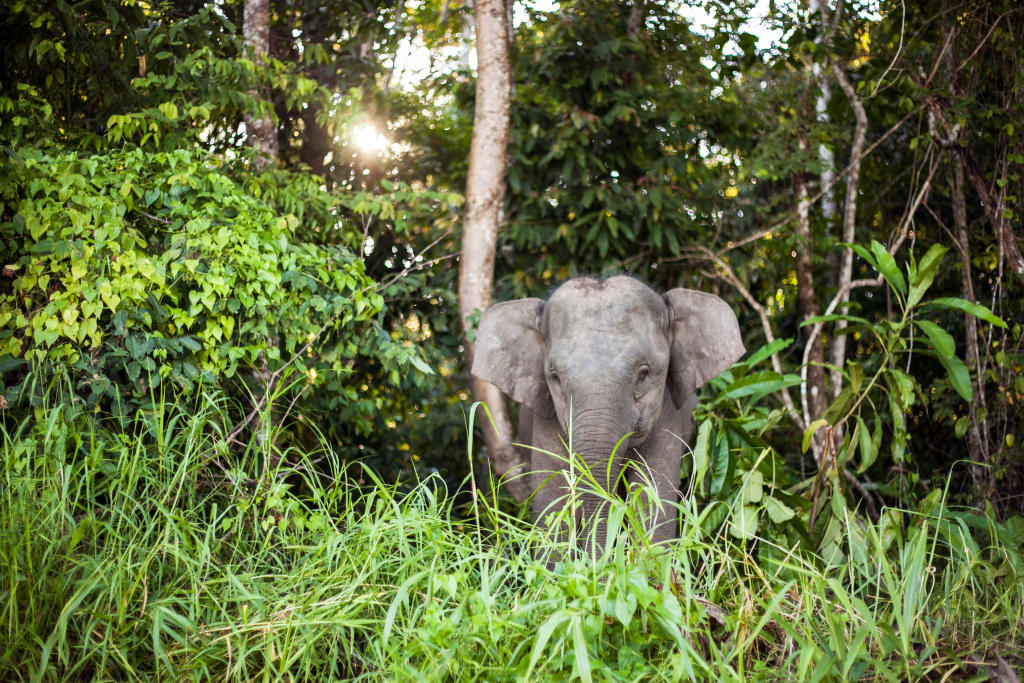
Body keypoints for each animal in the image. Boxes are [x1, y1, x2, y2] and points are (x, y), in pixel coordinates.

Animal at [471, 275, 744, 551]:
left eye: (643, 374)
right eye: (555, 377)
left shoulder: (666, 416)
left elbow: (653, 506)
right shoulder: (546, 422)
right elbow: (553, 510)